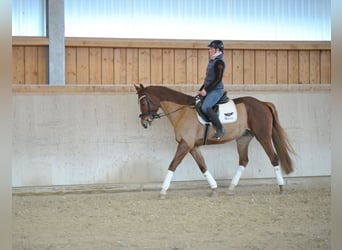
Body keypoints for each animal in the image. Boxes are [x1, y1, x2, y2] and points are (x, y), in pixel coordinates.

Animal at [134, 84, 294, 199]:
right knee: (243, 161)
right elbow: (203, 167)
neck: (182, 111)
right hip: (243, 139)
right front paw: (214, 189)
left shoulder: (185, 144)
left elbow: (173, 165)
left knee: (274, 158)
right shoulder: (192, 147)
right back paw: (231, 188)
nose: (144, 122)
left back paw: (281, 188)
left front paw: (162, 191)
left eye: (143, 102)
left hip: (263, 136)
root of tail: (262, 103)